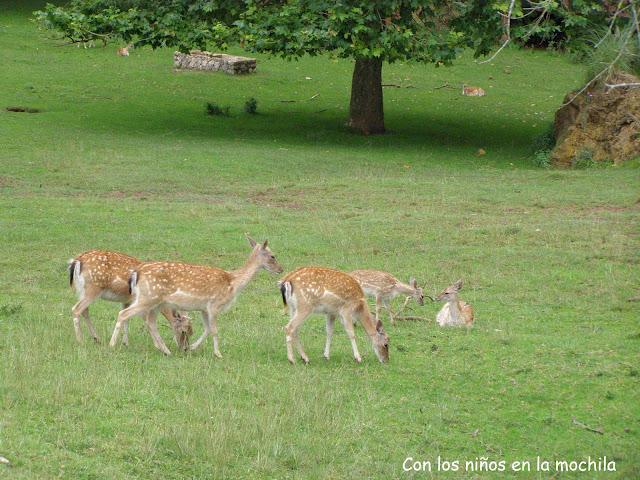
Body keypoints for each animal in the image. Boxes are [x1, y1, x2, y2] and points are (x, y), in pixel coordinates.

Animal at [109, 236, 282, 356]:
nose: (281, 269)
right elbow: (214, 330)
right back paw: (112, 345)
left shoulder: (204, 308)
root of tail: (136, 273)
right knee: (124, 313)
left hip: (155, 303)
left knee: (150, 323)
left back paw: (166, 351)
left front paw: (192, 347)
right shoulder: (214, 305)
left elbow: (207, 329)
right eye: (273, 256)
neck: (232, 284)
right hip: (148, 297)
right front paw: (218, 354)